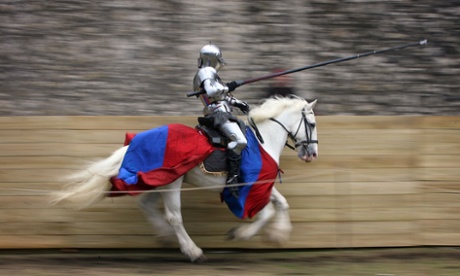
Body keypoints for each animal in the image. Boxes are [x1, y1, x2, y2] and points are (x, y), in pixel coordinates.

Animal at [50, 96, 316, 262]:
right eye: (312, 123)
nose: (311, 154)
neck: (263, 140)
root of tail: (134, 142)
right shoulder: (249, 185)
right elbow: (266, 212)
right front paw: (240, 234)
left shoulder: (262, 184)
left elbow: (281, 204)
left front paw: (278, 235)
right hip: (171, 183)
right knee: (174, 216)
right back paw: (193, 251)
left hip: (160, 181)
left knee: (146, 205)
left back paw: (164, 236)